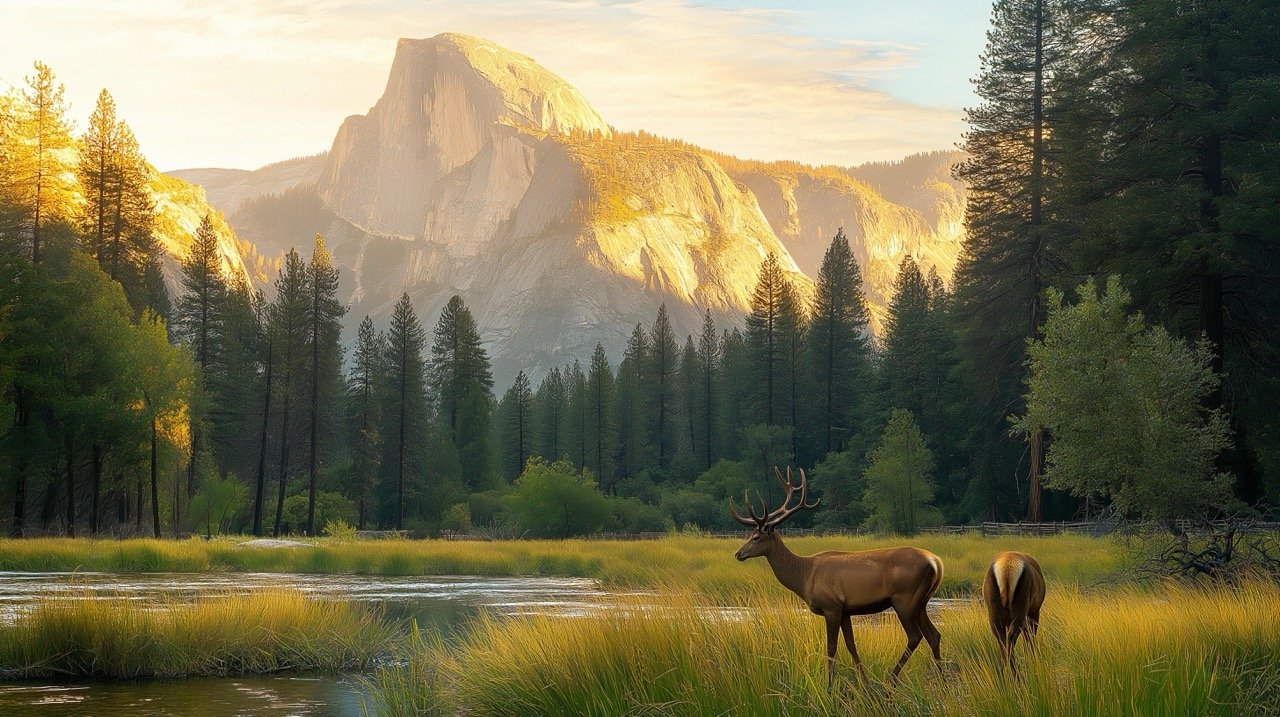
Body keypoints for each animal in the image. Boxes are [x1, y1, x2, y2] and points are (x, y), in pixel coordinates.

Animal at [727, 468, 947, 686]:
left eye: (756, 537)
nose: (738, 554)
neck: (804, 577)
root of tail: (936, 562)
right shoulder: (845, 610)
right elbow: (851, 646)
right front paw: (864, 683)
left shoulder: (831, 606)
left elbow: (831, 648)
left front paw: (829, 686)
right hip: (921, 601)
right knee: (934, 635)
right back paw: (942, 682)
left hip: (904, 598)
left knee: (915, 636)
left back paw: (891, 680)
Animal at [983, 547, 1044, 676]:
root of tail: (1007, 569)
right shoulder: (1034, 611)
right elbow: (1030, 637)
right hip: (1021, 607)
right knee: (1012, 636)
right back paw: (1014, 671)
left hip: (994, 611)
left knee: (1002, 639)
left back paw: (1003, 669)